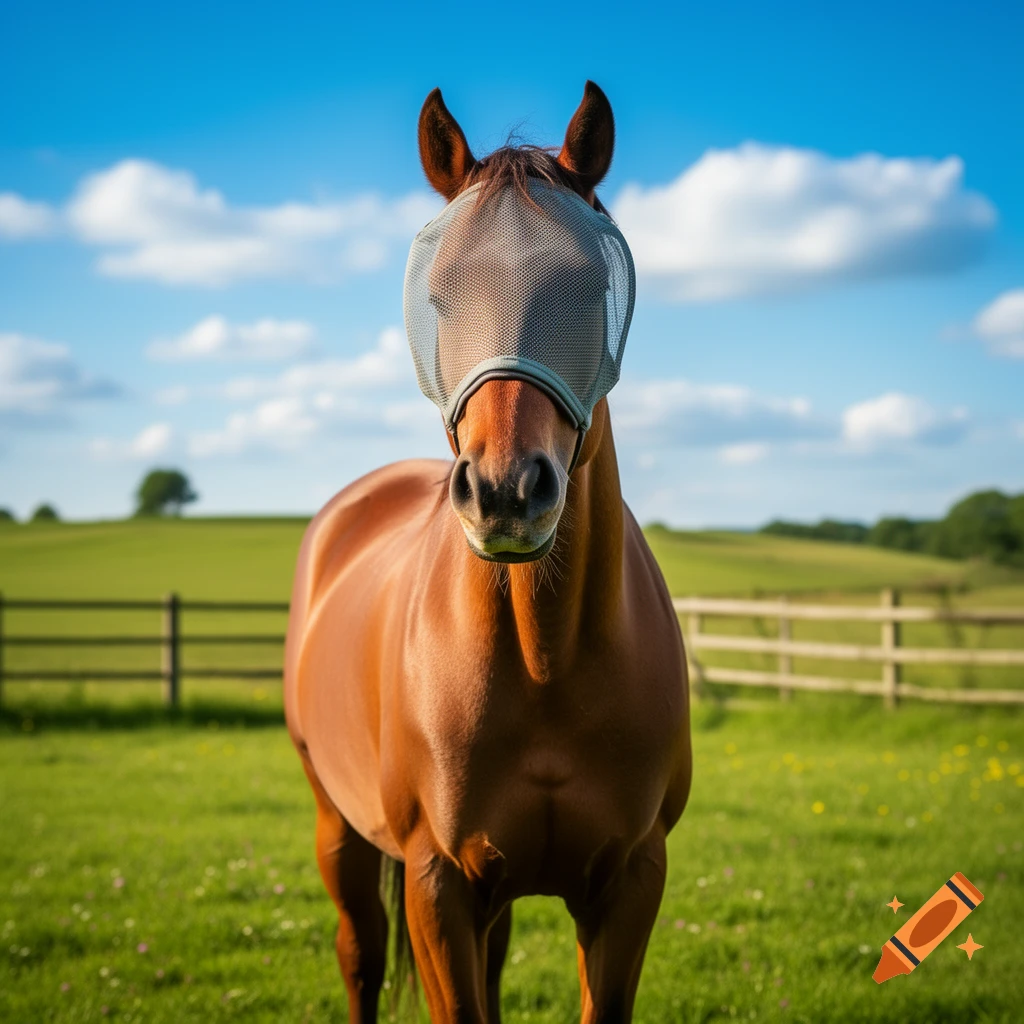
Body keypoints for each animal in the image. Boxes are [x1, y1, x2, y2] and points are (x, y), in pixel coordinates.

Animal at [284, 81, 692, 1024]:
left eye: (590, 290)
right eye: (435, 297)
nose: (507, 490)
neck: (546, 661)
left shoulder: (629, 881)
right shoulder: (437, 881)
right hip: (340, 828)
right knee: (359, 956)